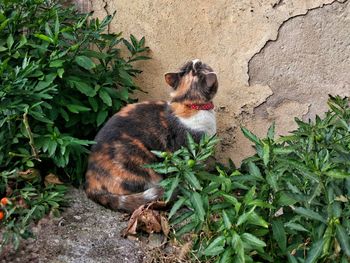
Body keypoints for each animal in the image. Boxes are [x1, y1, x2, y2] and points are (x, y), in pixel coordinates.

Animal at [85, 59, 217, 212]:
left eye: (190, 66)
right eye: (197, 67)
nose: (197, 60)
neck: (190, 106)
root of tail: (89, 184)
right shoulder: (188, 154)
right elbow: (191, 178)